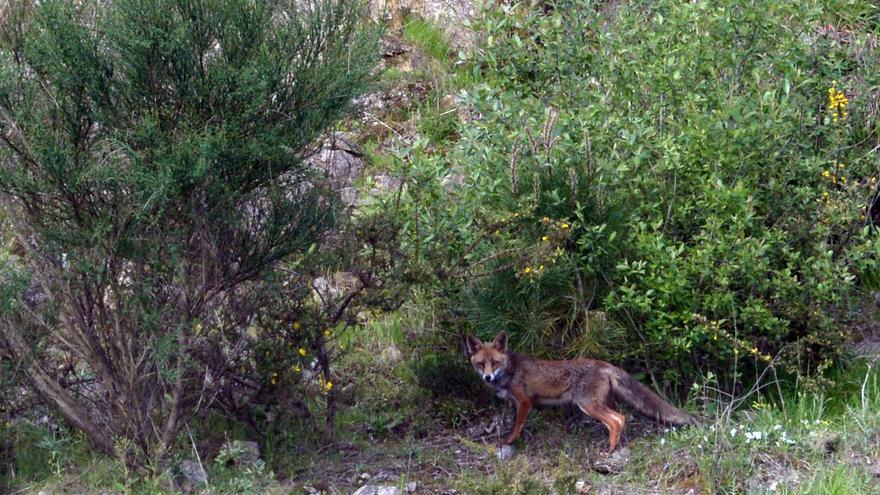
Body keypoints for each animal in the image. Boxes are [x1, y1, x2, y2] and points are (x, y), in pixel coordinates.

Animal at [464, 334, 696, 454]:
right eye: (481, 364)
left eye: (495, 363)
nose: (488, 378)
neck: (511, 371)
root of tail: (605, 364)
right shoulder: (516, 403)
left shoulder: (524, 402)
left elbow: (516, 426)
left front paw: (508, 442)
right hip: (598, 404)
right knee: (616, 420)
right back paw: (613, 444)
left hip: (588, 405)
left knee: (618, 419)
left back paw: (610, 449)